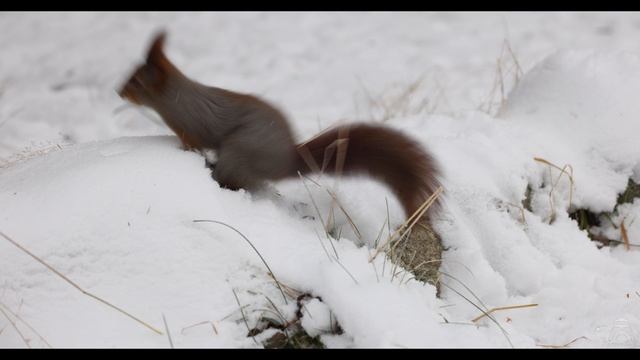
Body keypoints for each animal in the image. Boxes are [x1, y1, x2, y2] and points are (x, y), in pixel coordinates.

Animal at [119, 32, 440, 221]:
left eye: (136, 81)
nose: (119, 92)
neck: (175, 96)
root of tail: (283, 161)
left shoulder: (192, 125)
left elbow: (192, 142)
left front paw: (184, 152)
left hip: (238, 152)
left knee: (233, 180)